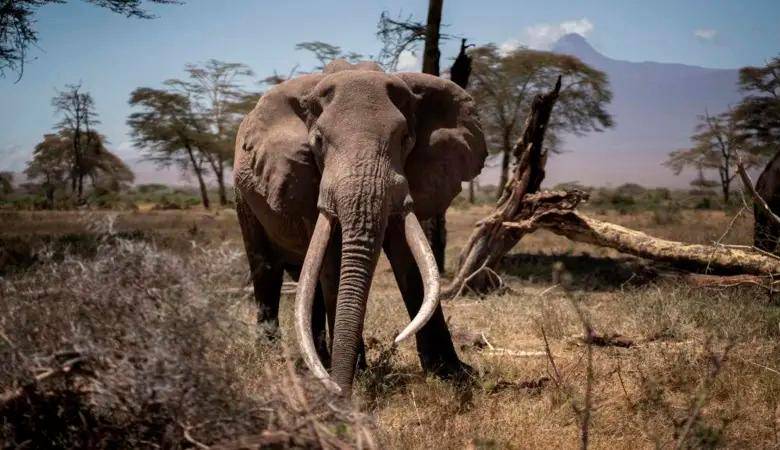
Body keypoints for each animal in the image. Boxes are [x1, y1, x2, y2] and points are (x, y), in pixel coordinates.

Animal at [233, 60, 487, 395]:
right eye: (317, 141)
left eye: (405, 138)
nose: (342, 391)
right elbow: (332, 261)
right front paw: (354, 376)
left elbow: (410, 259)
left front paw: (454, 374)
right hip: (242, 197)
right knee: (265, 268)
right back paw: (273, 355)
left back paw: (319, 359)